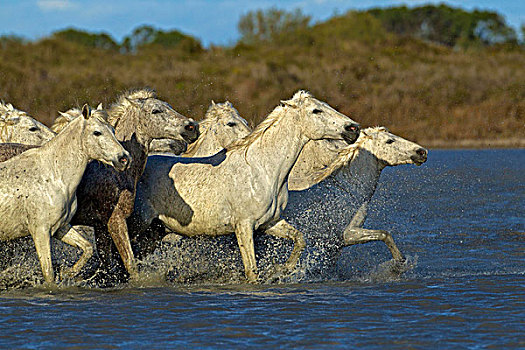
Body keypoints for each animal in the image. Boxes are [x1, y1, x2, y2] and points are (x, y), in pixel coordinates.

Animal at [0, 104, 130, 284]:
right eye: (97, 132)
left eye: (112, 129)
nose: (124, 159)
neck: (53, 175)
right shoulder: (40, 232)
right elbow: (49, 273)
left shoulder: (61, 227)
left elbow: (87, 248)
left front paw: (67, 273)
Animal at [132, 90, 360, 282]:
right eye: (316, 110)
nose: (353, 129)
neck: (263, 169)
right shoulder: (243, 226)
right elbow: (251, 270)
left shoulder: (270, 222)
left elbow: (299, 239)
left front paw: (281, 270)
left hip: (156, 232)